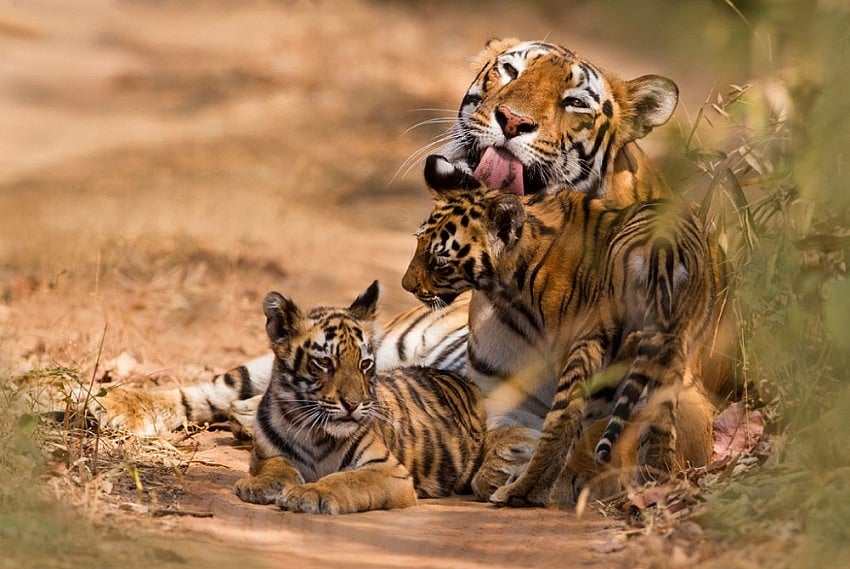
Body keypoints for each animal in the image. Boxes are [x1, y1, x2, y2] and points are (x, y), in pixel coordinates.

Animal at [232, 280, 485, 514]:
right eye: (324, 362)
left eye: (365, 364)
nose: (353, 404)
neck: (311, 432)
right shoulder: (264, 454)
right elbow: (275, 465)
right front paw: (258, 484)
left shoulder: (388, 470)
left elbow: (346, 480)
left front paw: (310, 492)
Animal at [401, 155, 717, 506]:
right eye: (418, 243)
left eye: (440, 262)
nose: (406, 285)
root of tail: (661, 250)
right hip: (671, 347)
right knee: (659, 419)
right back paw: (654, 482)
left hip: (594, 342)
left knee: (566, 421)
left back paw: (521, 492)